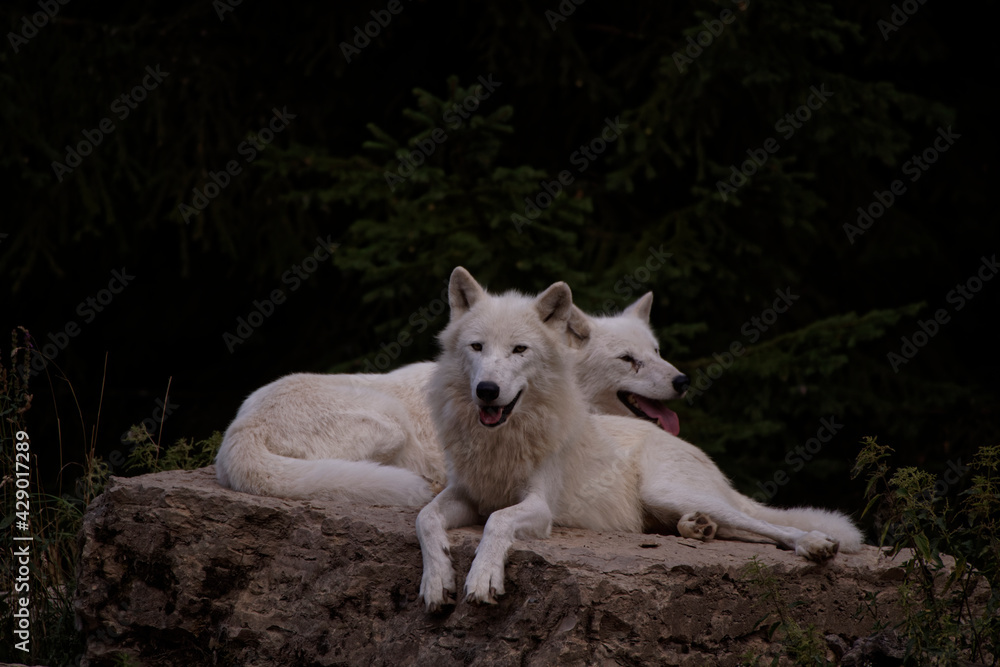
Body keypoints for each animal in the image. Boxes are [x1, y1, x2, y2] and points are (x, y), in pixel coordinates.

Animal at [418, 268, 864, 612]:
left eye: (519, 349)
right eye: (477, 347)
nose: (487, 390)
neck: (502, 438)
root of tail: (697, 452)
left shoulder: (539, 507)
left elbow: (498, 520)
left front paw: (482, 577)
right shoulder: (465, 493)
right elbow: (424, 517)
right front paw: (437, 581)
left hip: (667, 491)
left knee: (765, 525)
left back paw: (812, 543)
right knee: (737, 529)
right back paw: (698, 529)